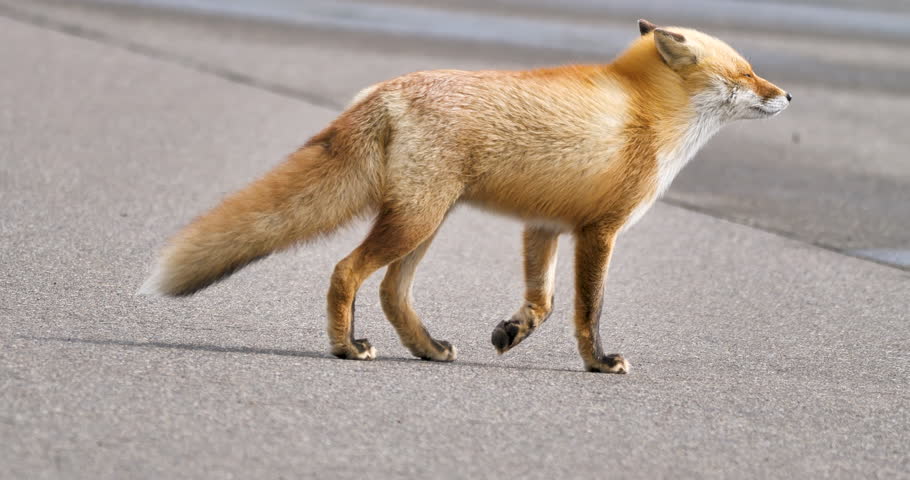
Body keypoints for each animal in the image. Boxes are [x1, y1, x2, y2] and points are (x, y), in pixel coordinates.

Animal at [140, 20, 791, 373]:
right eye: (747, 73)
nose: (788, 96)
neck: (647, 115)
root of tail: (384, 90)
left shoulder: (544, 226)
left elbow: (543, 303)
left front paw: (513, 332)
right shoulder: (598, 231)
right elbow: (588, 311)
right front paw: (599, 363)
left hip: (427, 220)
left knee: (391, 290)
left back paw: (426, 348)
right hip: (417, 218)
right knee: (348, 272)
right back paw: (347, 347)